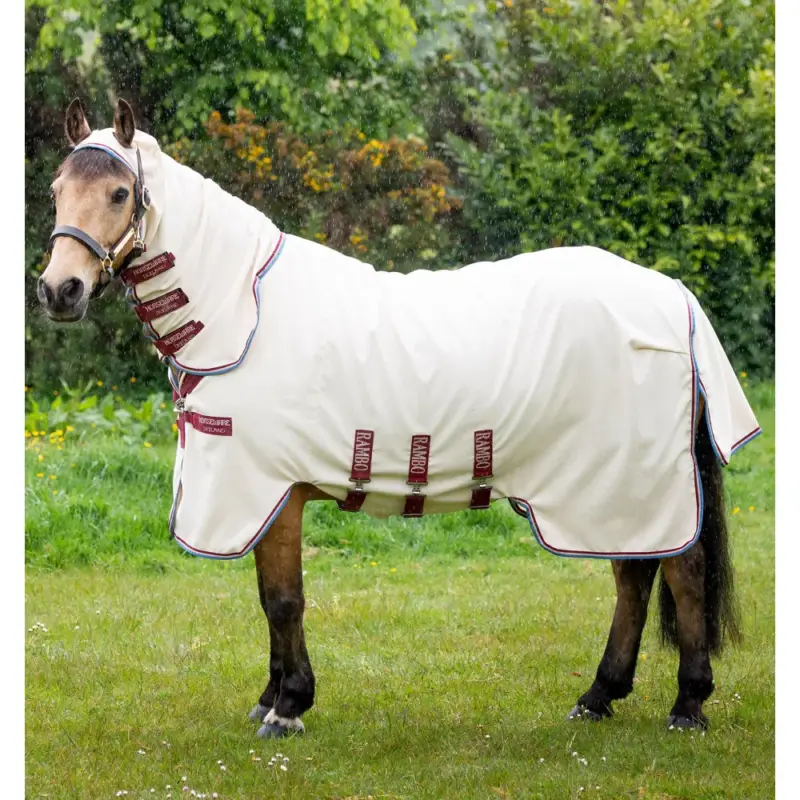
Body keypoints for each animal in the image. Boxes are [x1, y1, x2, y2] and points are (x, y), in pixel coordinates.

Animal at [38, 98, 761, 739]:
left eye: (120, 194)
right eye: (56, 190)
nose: (58, 290)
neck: (244, 314)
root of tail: (674, 295)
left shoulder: (275, 490)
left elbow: (284, 599)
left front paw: (288, 707)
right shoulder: (262, 496)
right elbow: (268, 600)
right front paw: (271, 695)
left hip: (636, 477)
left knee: (682, 572)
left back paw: (687, 705)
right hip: (609, 485)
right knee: (635, 574)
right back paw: (599, 695)